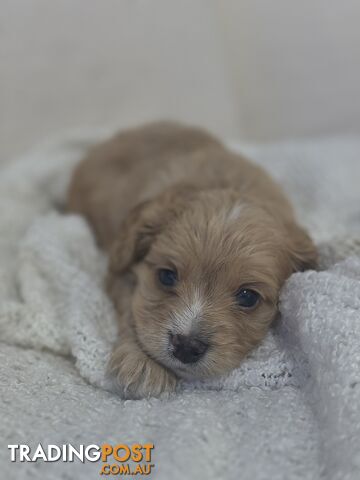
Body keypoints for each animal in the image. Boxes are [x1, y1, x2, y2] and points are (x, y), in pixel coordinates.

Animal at [67, 122, 316, 400]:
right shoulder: (119, 271)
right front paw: (143, 363)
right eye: (166, 276)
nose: (186, 346)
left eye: (248, 297)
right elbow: (132, 311)